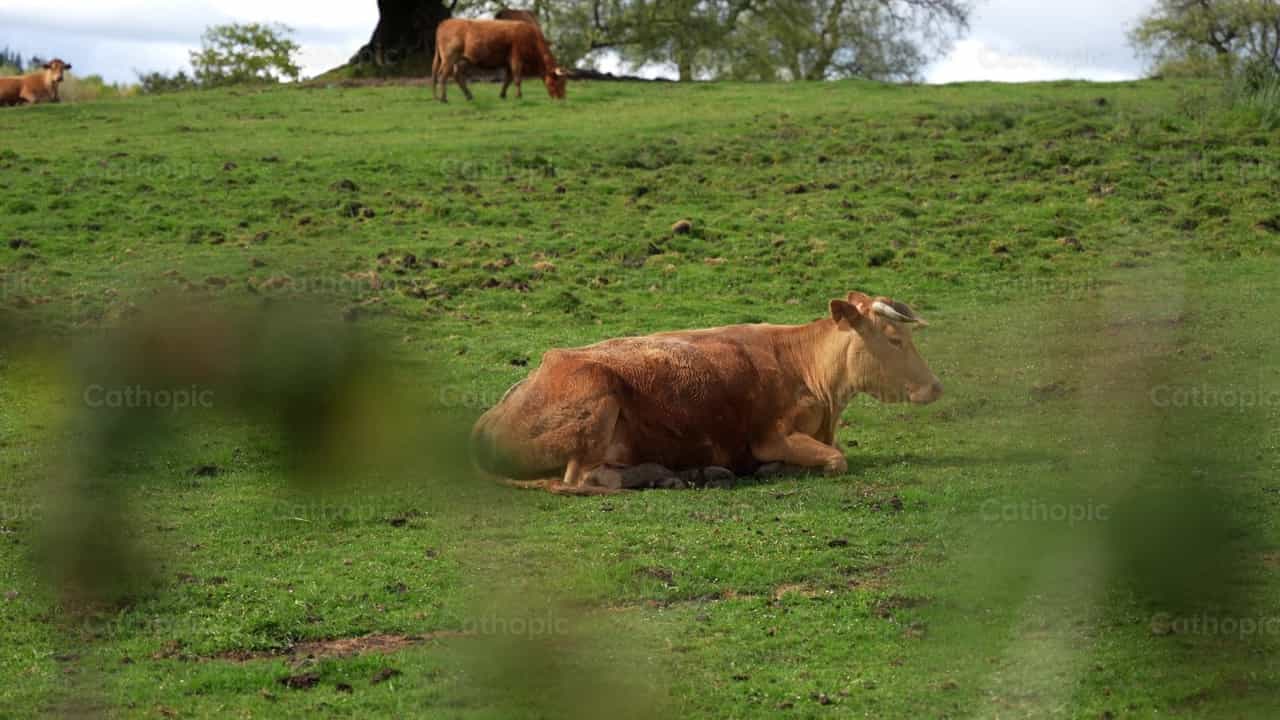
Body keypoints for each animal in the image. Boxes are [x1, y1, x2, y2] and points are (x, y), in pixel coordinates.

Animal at [432, 18, 566, 102]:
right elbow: (517, 78)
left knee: (457, 75)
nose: (562, 99)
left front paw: (502, 95)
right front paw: (519, 96)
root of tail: (445, 22)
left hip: (463, 60)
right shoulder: (516, 58)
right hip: (449, 58)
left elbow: (508, 79)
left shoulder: (508, 62)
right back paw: (443, 99)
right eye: (558, 81)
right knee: (442, 75)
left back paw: (468, 96)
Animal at [470, 292, 944, 495]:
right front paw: (775, 469)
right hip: (598, 400)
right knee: (585, 477)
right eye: (894, 340)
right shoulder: (771, 436)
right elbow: (835, 460)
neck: (805, 367)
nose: (935, 387)